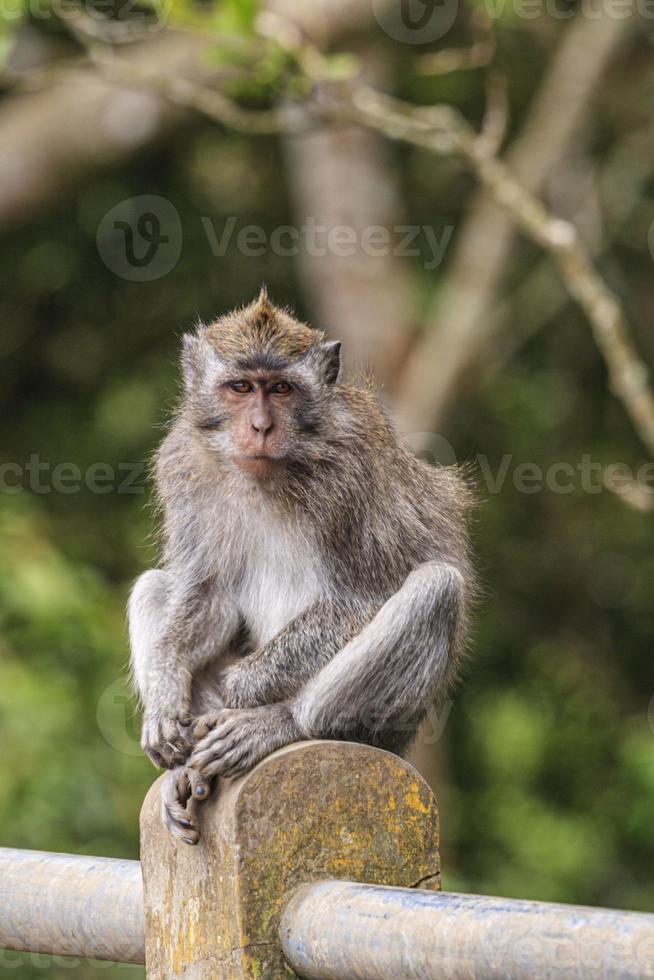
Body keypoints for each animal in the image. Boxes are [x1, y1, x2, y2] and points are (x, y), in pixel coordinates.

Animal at [129, 286, 476, 844]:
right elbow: (207, 595)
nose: (260, 426)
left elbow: (358, 599)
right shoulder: (183, 464)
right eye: (241, 387)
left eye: (282, 389)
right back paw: (185, 770)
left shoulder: (352, 472)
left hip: (389, 731)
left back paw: (283, 721)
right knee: (153, 585)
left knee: (436, 587)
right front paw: (165, 692)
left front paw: (238, 690)